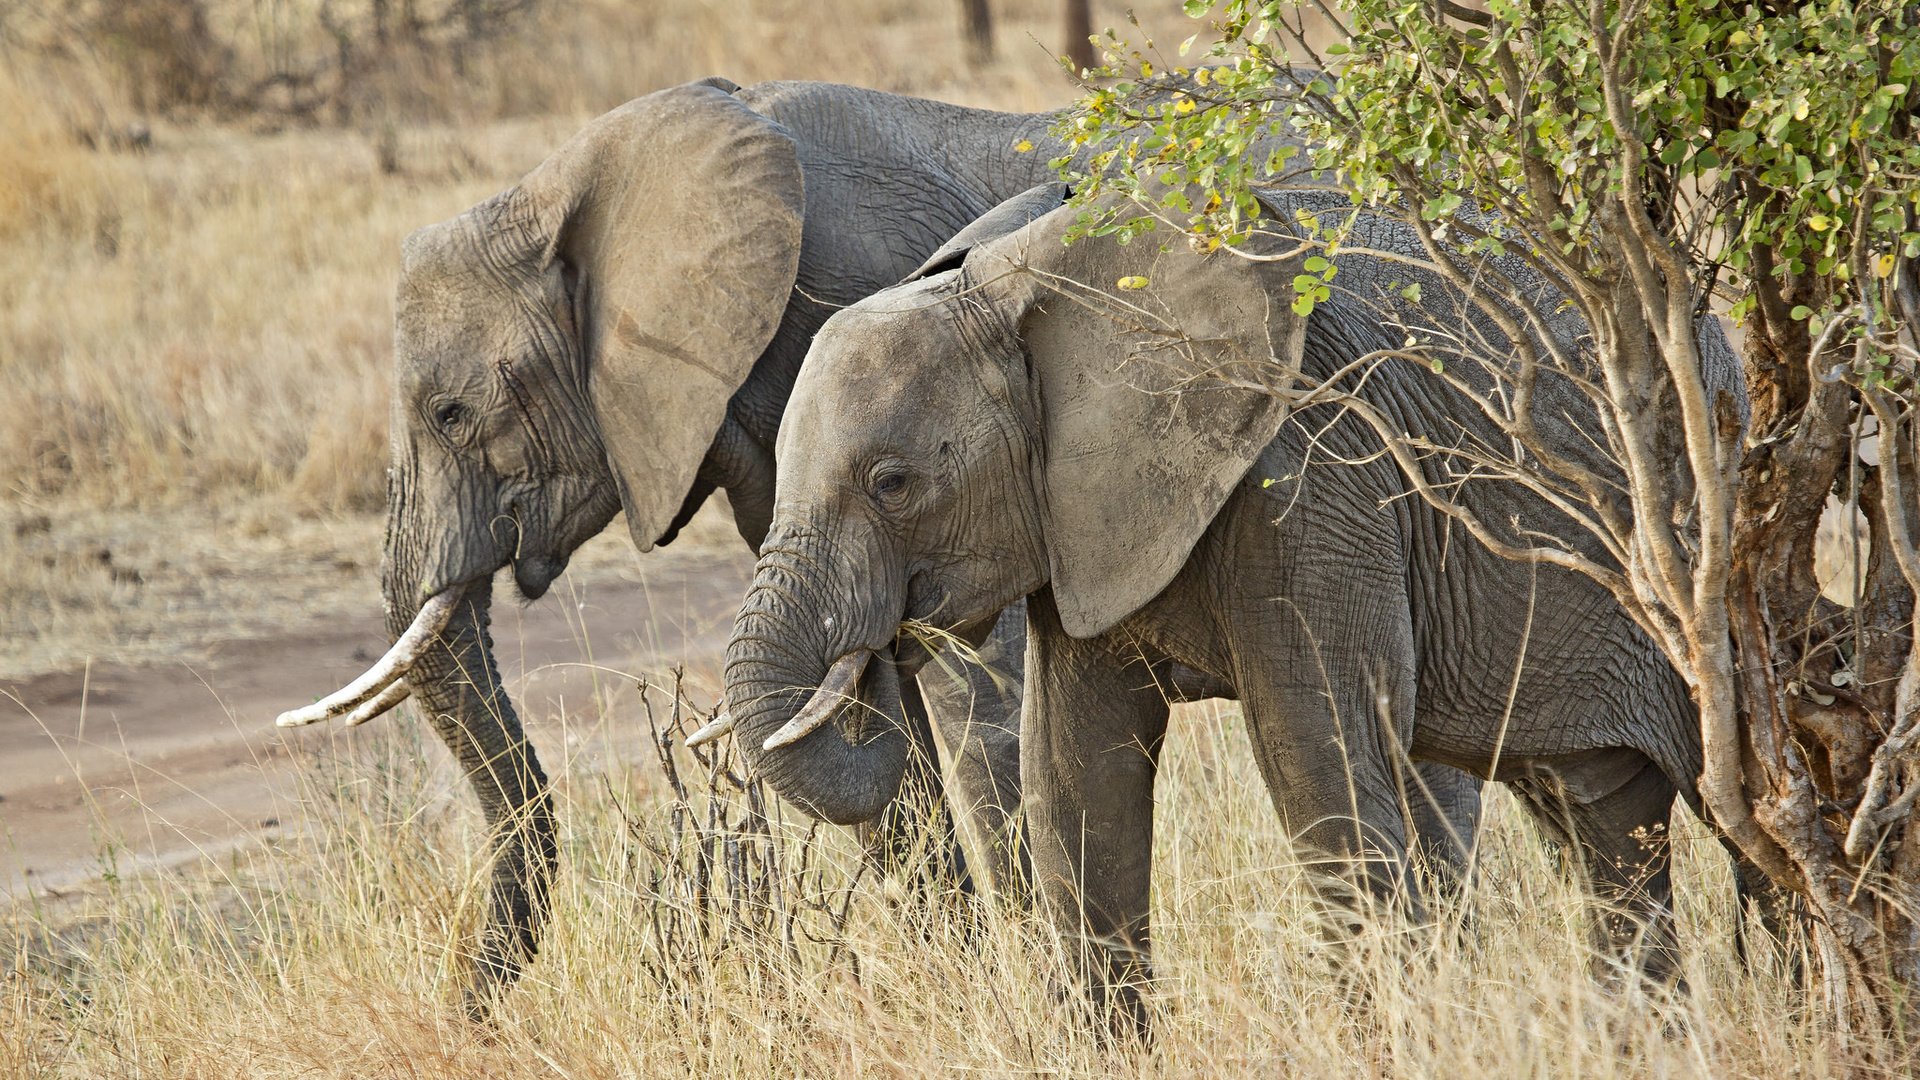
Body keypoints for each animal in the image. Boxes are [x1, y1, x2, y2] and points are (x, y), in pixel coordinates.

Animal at [721, 189, 1743, 1030]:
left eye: (892, 484)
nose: (878, 648)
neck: (1019, 281)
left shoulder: (1316, 478)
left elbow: (1316, 762)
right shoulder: (1083, 521)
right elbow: (1077, 779)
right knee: (1603, 823)